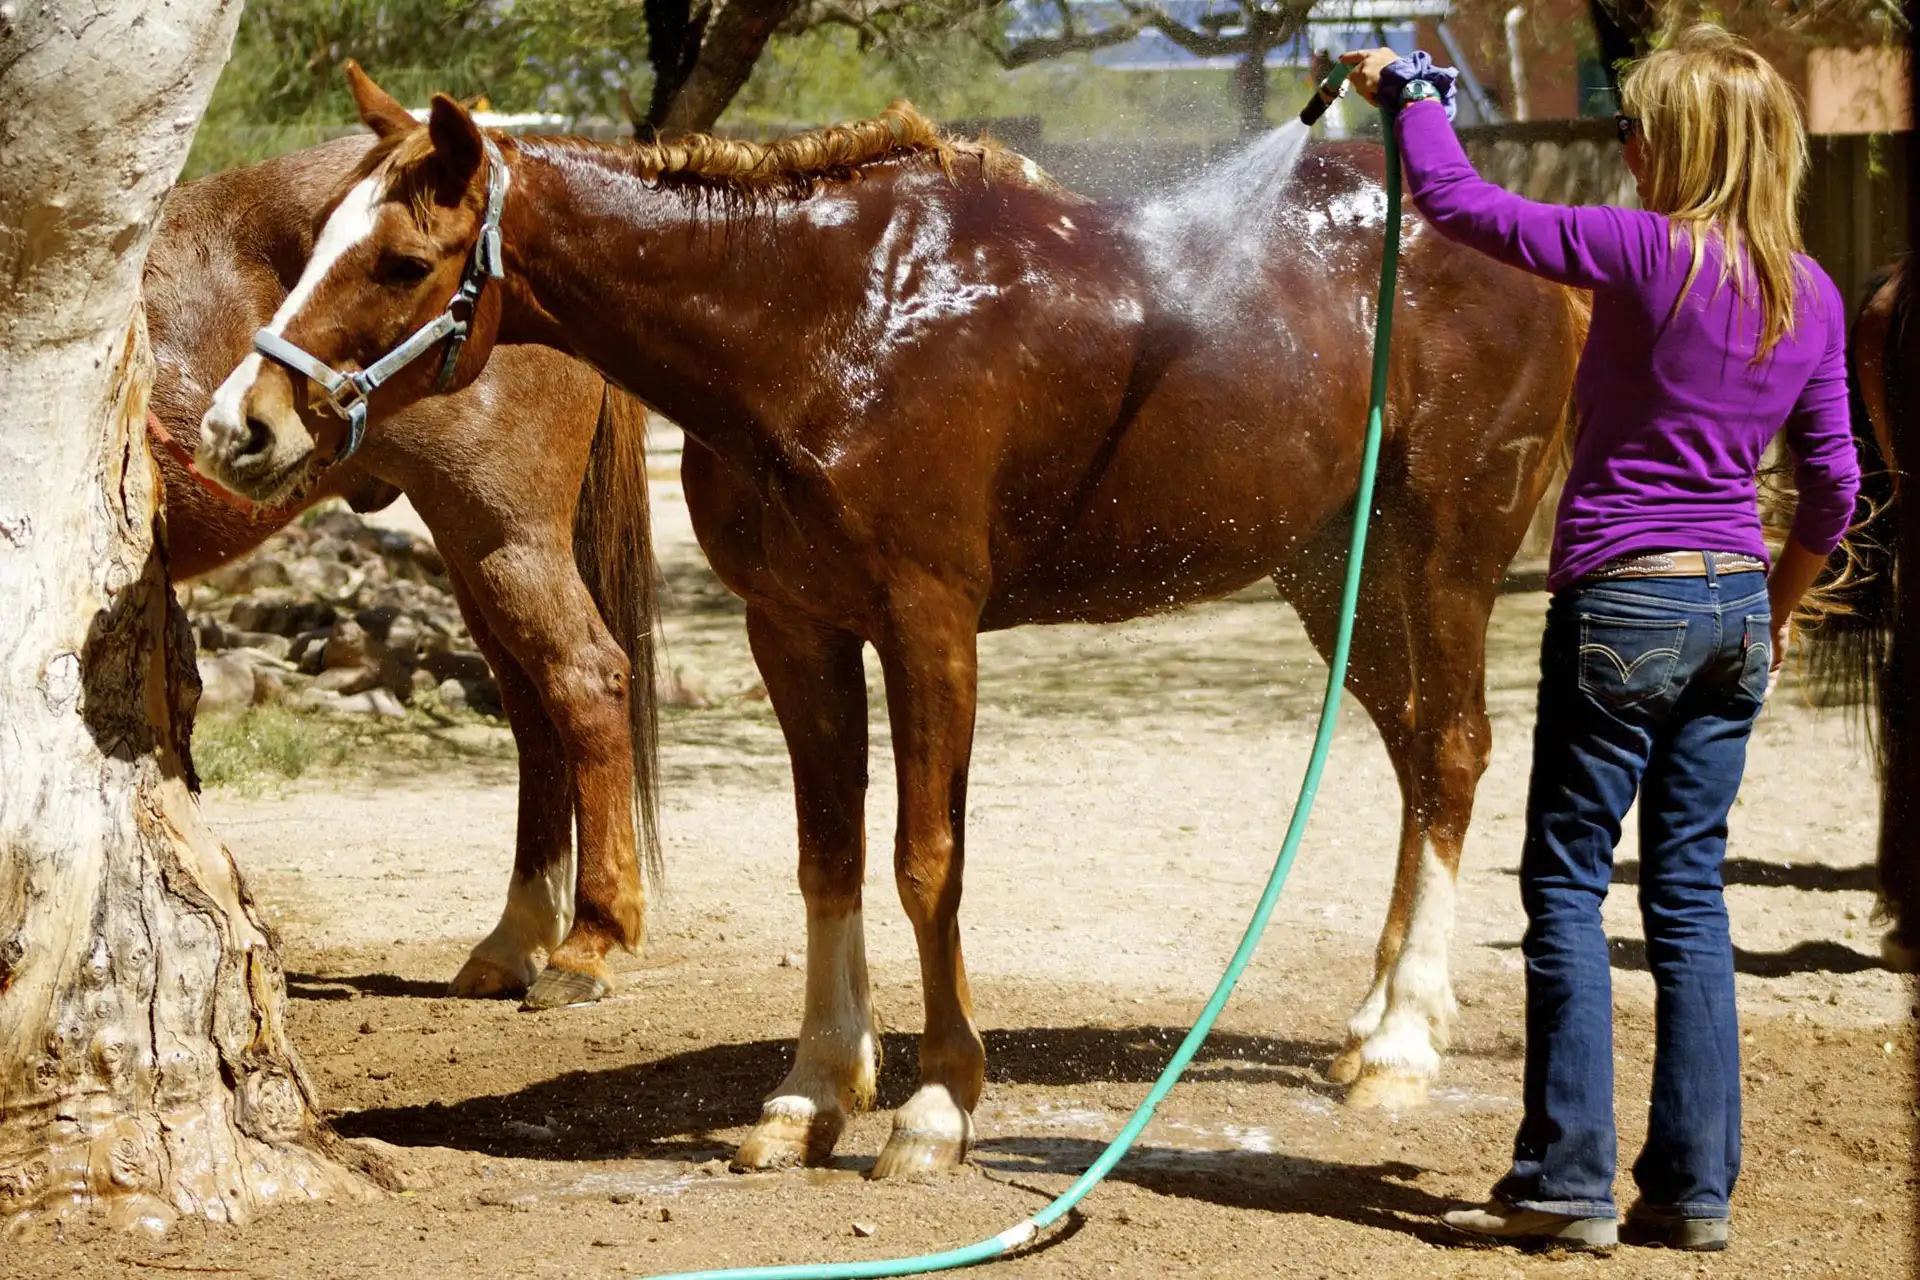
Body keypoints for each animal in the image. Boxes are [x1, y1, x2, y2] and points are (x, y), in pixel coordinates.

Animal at [145, 135, 664, 1005]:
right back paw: (513, 942)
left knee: (585, 684)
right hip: (469, 547)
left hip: (504, 533)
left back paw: (584, 945)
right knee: (534, 711)